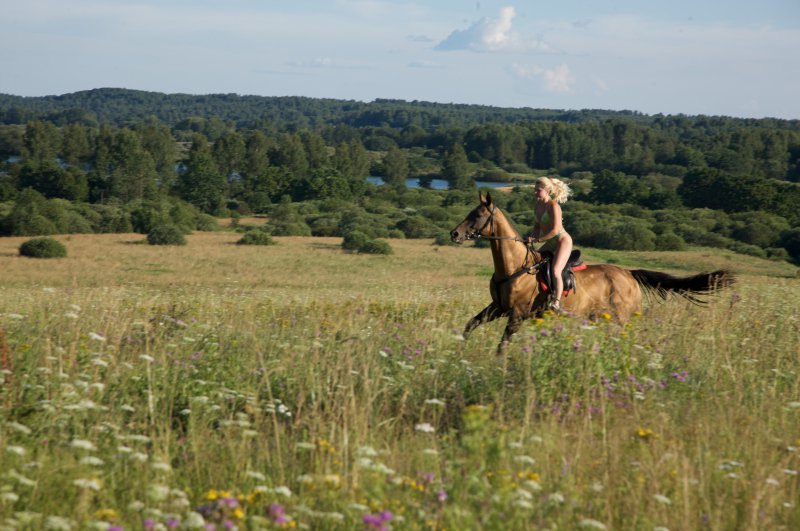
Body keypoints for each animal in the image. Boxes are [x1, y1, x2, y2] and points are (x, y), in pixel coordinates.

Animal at [446, 193, 736, 356]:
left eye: (478, 214)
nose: (455, 233)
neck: (515, 267)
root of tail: (629, 275)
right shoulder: (497, 307)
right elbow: (470, 325)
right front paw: (457, 349)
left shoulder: (516, 314)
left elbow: (502, 346)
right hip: (599, 317)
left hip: (622, 318)